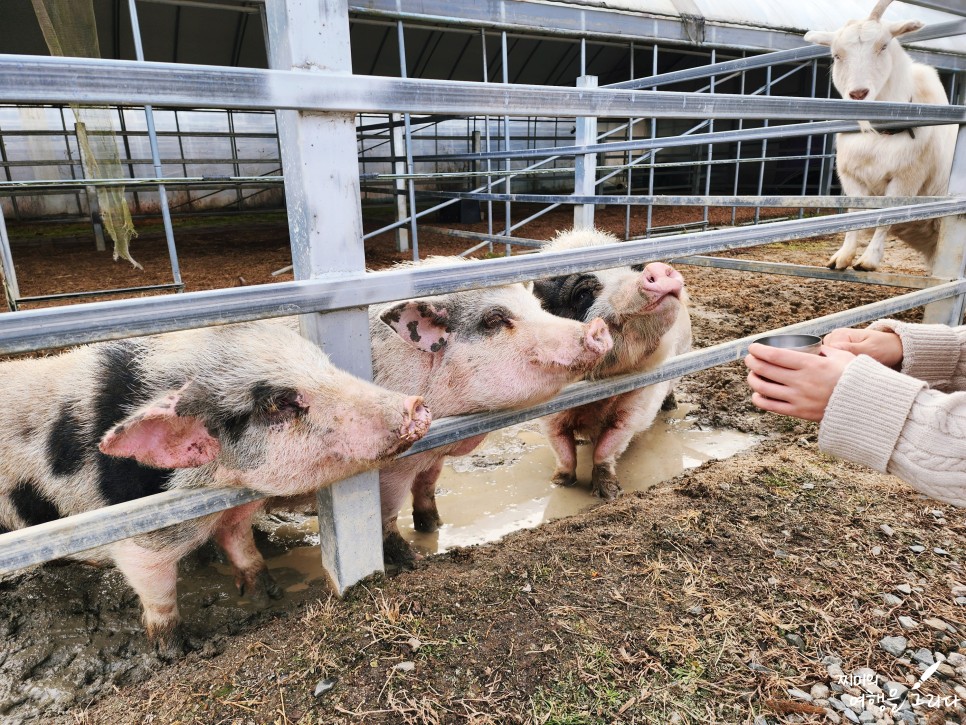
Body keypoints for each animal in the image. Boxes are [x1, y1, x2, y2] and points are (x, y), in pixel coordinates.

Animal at [0, 320, 432, 652]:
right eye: (278, 402)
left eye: (324, 364)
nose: (415, 404)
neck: (217, 486)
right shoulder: (138, 537)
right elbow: (158, 594)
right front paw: (176, 651)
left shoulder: (233, 510)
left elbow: (244, 549)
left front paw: (267, 594)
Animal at [532, 229, 692, 500]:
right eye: (582, 294)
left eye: (635, 269)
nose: (657, 268)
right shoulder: (549, 414)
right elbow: (563, 450)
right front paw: (560, 483)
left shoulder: (634, 407)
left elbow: (606, 448)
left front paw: (609, 494)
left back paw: (670, 408)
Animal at [804, 0, 956, 272]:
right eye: (837, 55)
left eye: (883, 46)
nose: (858, 93)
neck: (878, 135)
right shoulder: (851, 176)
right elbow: (854, 214)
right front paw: (841, 257)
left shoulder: (907, 178)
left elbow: (886, 216)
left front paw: (868, 261)